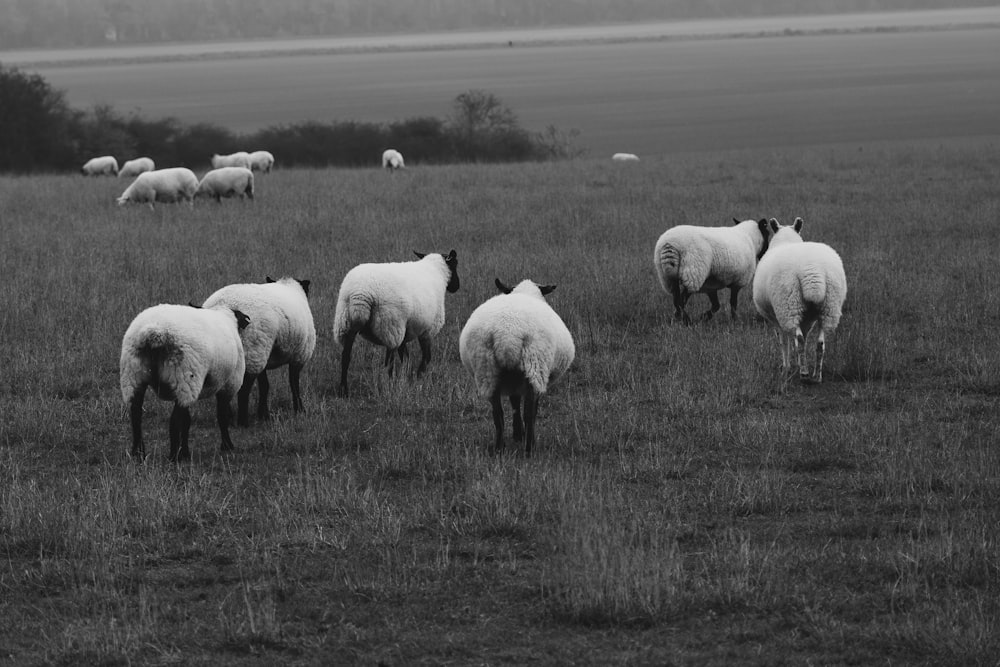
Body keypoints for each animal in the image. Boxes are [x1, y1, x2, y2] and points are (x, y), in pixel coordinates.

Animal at [119, 306, 250, 462]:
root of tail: (154, 332)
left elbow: (187, 420)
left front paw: (185, 451)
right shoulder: (229, 384)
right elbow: (222, 415)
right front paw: (227, 445)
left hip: (133, 375)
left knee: (136, 415)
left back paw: (138, 452)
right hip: (185, 377)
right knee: (174, 419)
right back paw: (173, 456)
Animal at [200, 278, 316, 428]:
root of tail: (224, 305)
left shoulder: (264, 358)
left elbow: (264, 385)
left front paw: (263, 414)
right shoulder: (300, 355)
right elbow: (294, 383)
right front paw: (300, 410)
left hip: (240, 355)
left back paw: (229, 417)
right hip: (254, 349)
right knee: (244, 390)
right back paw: (243, 422)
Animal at [336, 250, 460, 396]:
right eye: (455, 264)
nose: (456, 287)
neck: (437, 271)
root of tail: (361, 292)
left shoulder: (406, 332)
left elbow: (405, 357)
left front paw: (407, 377)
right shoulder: (427, 330)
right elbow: (426, 357)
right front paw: (418, 378)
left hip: (346, 323)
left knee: (346, 356)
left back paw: (343, 389)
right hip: (391, 325)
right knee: (389, 361)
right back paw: (390, 386)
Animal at [458, 280, 576, 456]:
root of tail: (507, 334)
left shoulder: (513, 382)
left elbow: (514, 403)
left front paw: (517, 433)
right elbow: (531, 409)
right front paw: (522, 435)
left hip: (487, 369)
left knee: (498, 414)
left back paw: (499, 448)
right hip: (535, 366)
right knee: (529, 412)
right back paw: (530, 448)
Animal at [752, 218, 848, 384]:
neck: (786, 240)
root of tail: (812, 269)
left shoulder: (775, 317)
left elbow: (783, 341)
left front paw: (786, 367)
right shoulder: (807, 318)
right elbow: (803, 336)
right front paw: (798, 363)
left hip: (788, 305)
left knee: (799, 339)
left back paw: (804, 374)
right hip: (829, 307)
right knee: (820, 344)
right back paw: (816, 375)